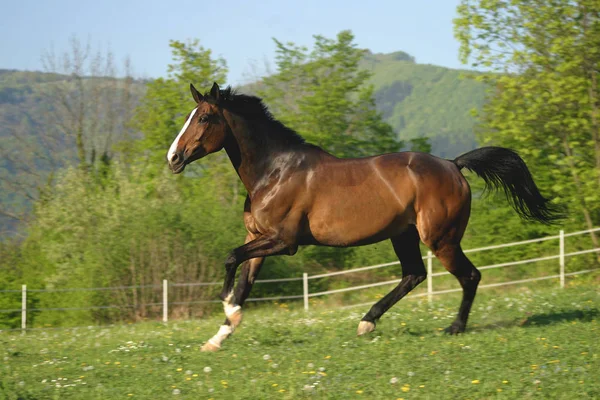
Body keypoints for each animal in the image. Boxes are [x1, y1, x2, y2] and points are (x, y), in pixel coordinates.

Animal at [164, 83, 556, 352]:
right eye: (189, 117)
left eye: (204, 117)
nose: (173, 158)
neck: (274, 171)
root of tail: (453, 165)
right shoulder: (257, 239)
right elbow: (245, 281)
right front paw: (218, 336)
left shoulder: (284, 242)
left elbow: (230, 259)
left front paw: (227, 304)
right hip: (404, 234)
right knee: (414, 275)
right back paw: (367, 323)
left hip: (440, 238)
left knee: (469, 276)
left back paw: (453, 328)